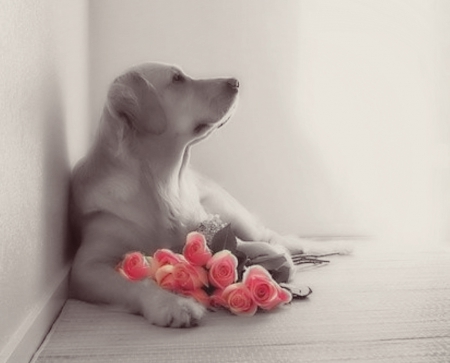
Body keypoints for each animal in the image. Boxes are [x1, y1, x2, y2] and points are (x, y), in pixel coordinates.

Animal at [69, 62, 344, 330]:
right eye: (177, 79)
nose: (235, 82)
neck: (164, 184)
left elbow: (248, 246)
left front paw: (270, 258)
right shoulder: (87, 267)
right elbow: (136, 283)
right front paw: (172, 305)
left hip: (230, 211)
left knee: (273, 237)